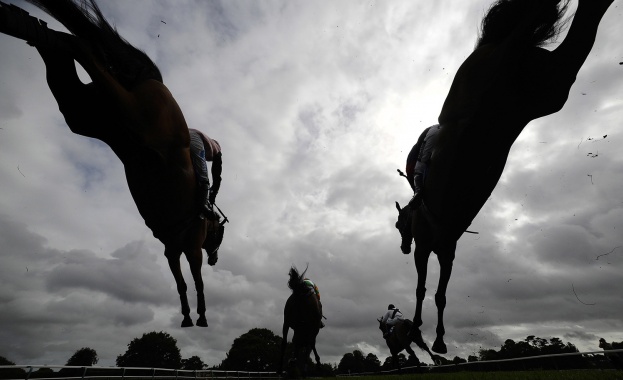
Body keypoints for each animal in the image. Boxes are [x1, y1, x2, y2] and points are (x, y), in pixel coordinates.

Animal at [0, 0, 224, 326]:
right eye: (219, 235)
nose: (216, 258)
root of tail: (153, 80)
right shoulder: (192, 248)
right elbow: (196, 281)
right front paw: (200, 316)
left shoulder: (171, 250)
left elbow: (181, 283)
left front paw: (185, 315)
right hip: (129, 114)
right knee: (84, 50)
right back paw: (64, 37)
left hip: (84, 114)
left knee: (64, 60)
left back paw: (36, 29)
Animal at [394, 0, 616, 356]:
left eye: (398, 226)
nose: (402, 248)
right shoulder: (446, 251)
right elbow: (440, 294)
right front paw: (437, 338)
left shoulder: (426, 249)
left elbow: (423, 289)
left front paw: (420, 331)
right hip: (549, 86)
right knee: (579, 27)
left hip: (505, 72)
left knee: (528, 22)